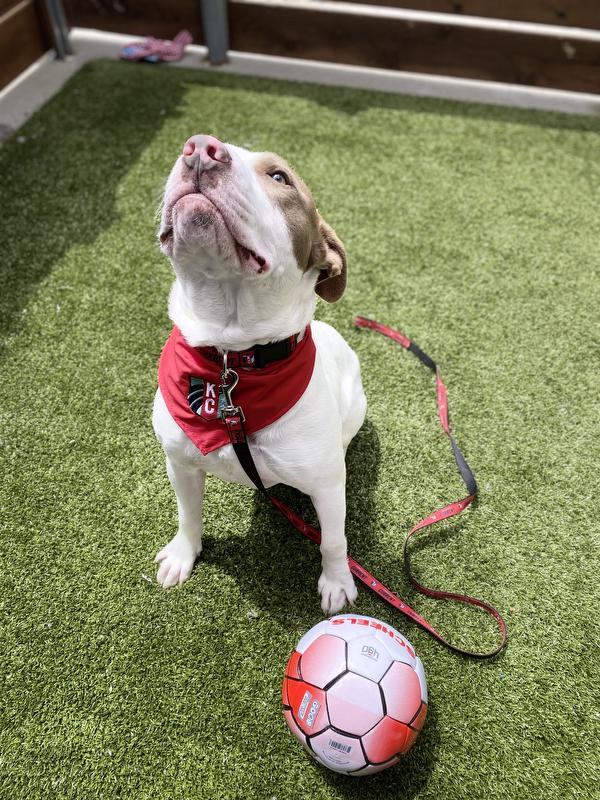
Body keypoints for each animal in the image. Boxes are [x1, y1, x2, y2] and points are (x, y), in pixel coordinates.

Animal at [152, 136, 368, 612]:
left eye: (279, 177)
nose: (200, 149)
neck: (231, 358)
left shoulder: (327, 485)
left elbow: (334, 540)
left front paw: (337, 583)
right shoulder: (180, 462)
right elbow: (187, 514)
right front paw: (182, 555)